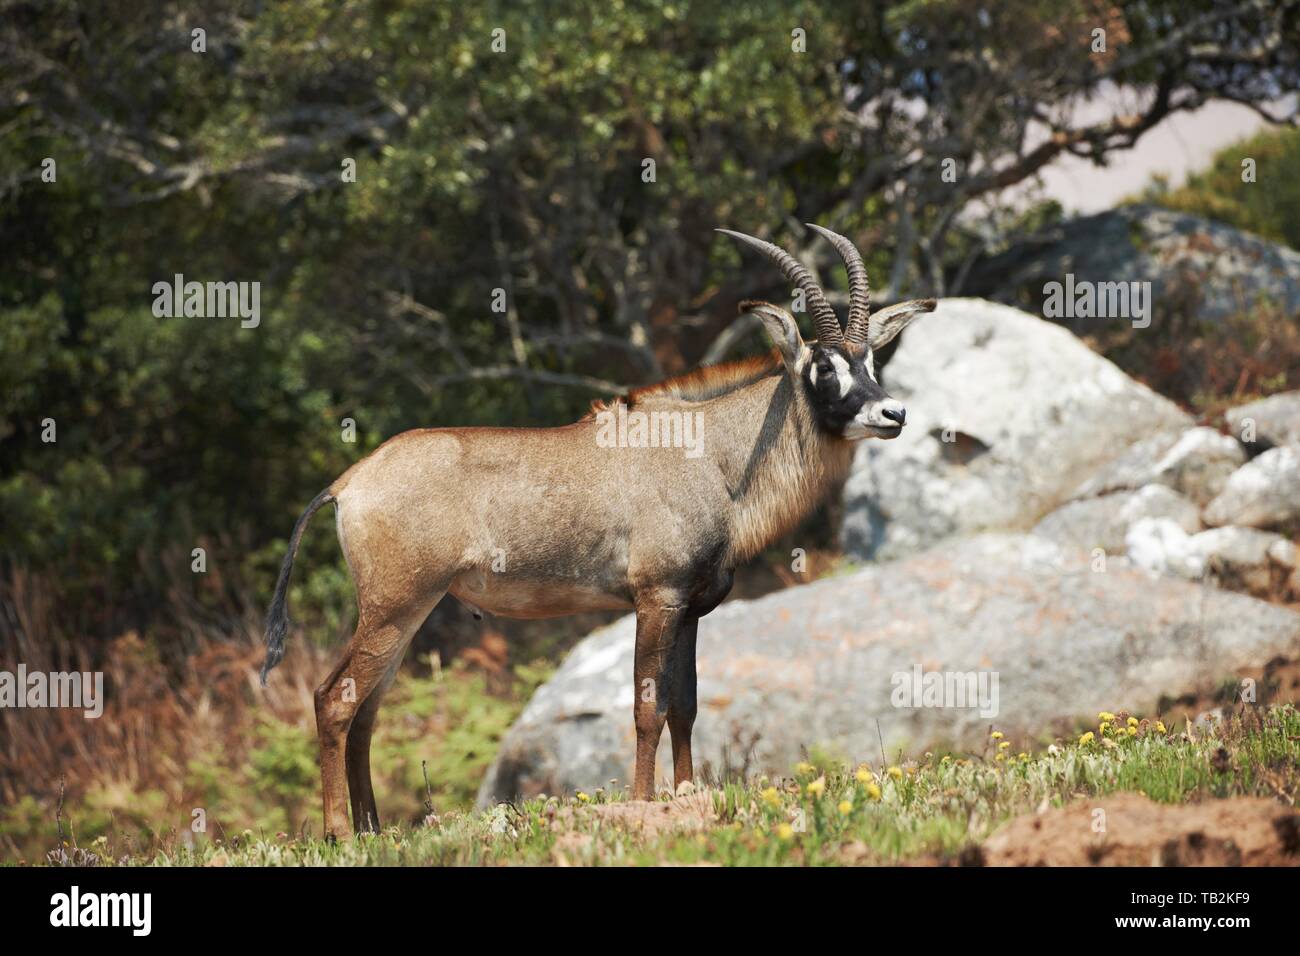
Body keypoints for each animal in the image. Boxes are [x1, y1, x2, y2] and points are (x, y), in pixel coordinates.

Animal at [261, 223, 935, 837]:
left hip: (406, 613)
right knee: (336, 699)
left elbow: (685, 705)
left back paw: (374, 829)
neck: (714, 455)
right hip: (394, 606)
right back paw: (339, 832)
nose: (892, 413)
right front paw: (643, 803)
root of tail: (348, 483)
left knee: (366, 712)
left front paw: (685, 795)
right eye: (822, 365)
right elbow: (647, 705)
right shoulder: (656, 598)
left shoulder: (691, 608)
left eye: (869, 358)